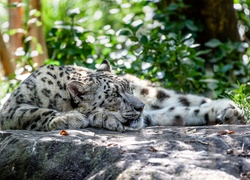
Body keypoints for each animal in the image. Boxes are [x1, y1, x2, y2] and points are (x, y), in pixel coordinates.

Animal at [0, 59, 243, 131]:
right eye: (114, 95)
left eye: (128, 89)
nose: (140, 107)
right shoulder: (11, 108)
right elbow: (35, 112)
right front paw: (68, 118)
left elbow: (180, 110)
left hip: (156, 93)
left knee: (187, 99)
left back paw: (231, 109)